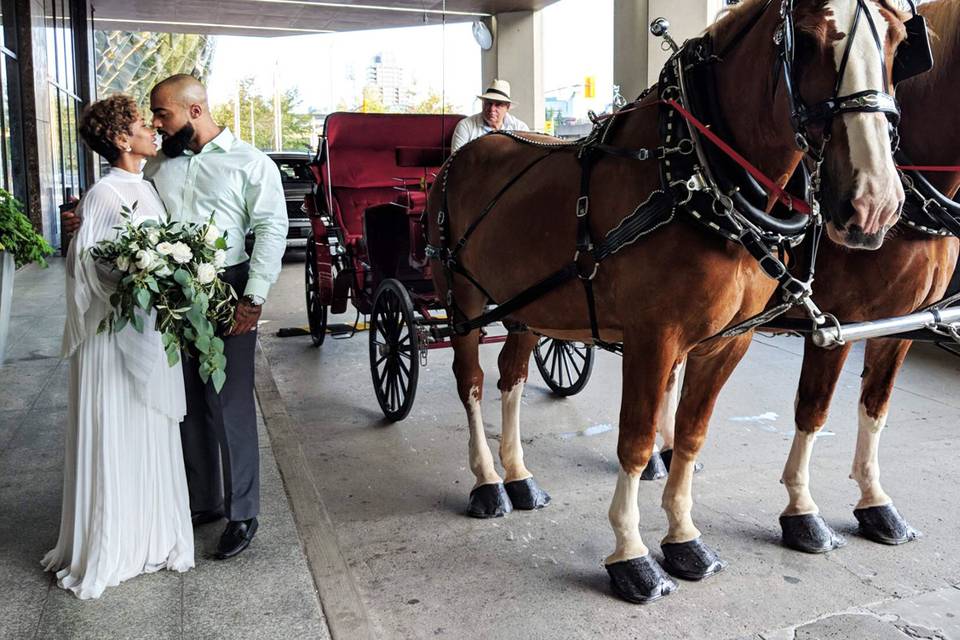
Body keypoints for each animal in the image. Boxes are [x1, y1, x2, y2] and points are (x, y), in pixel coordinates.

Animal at [428, 0, 908, 604]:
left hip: (524, 307)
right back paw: (488, 482)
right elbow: (635, 442)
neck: (695, 175)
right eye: (811, 37)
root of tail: (465, 154)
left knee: (510, 378)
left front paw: (683, 538)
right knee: (469, 382)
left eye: (897, 42)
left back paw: (518, 476)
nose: (873, 204)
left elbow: (691, 435)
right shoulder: (652, 339)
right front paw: (631, 556)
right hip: (465, 300)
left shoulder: (728, 341)